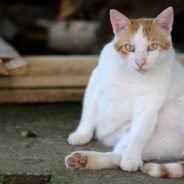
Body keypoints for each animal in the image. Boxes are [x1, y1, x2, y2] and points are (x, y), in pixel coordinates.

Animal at [64, 6, 184, 178]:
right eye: (129, 47)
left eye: (153, 47)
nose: (140, 62)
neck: (131, 74)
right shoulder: (95, 82)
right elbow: (88, 111)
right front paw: (82, 133)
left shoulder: (148, 107)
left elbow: (139, 133)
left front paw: (132, 157)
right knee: (116, 155)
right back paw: (81, 160)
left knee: (121, 152)